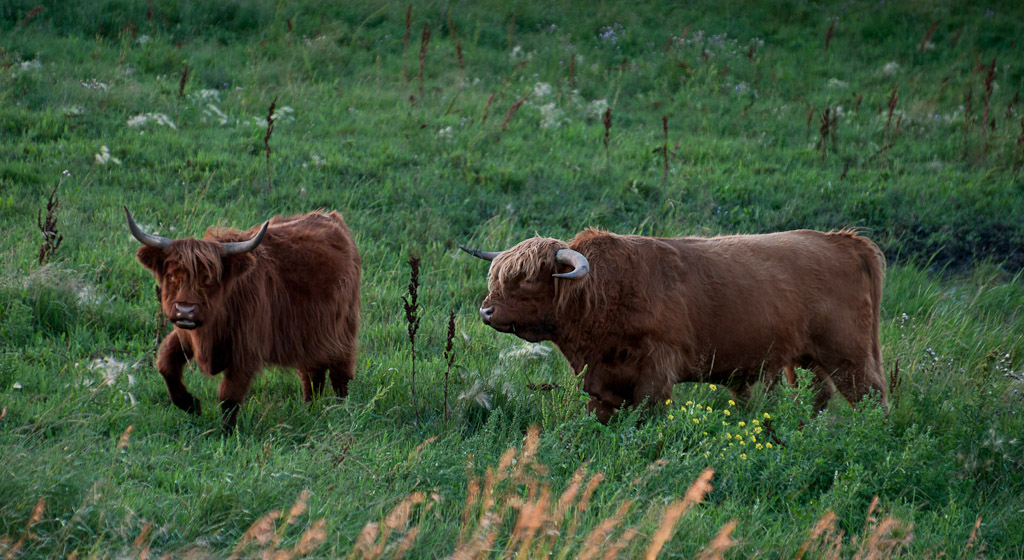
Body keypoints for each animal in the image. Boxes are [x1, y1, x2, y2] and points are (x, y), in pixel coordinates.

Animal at [126, 207, 362, 432]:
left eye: (208, 279)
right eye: (172, 276)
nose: (185, 311)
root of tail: (332, 219)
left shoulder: (246, 348)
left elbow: (229, 394)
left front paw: (227, 433)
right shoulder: (185, 335)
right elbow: (165, 363)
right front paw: (191, 404)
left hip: (342, 330)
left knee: (340, 373)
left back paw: (340, 410)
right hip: (308, 337)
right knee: (312, 375)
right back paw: (310, 410)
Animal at [466, 228, 888, 421]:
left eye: (528, 279)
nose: (486, 311)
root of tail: (844, 240)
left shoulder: (656, 372)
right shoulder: (604, 383)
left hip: (849, 355)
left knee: (872, 395)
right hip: (814, 360)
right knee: (821, 396)